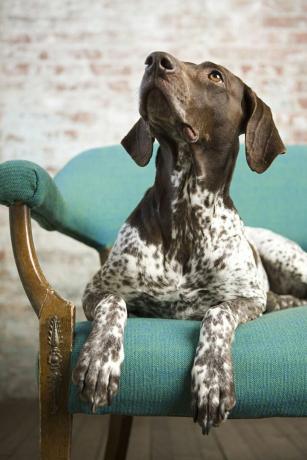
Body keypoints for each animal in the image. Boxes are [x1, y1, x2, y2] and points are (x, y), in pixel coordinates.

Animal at [72, 52, 307, 434]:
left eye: (215, 75)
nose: (155, 60)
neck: (186, 211)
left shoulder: (246, 298)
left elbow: (217, 313)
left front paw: (212, 378)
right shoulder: (97, 290)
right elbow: (114, 304)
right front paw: (99, 360)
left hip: (285, 257)